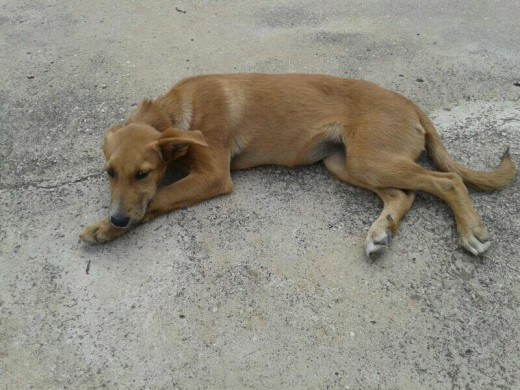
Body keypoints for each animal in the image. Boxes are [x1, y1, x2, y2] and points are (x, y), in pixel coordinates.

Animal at [80, 73, 516, 258]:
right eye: (109, 173)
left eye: (143, 173)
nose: (117, 218)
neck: (178, 113)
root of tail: (410, 103)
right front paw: (109, 225)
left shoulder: (213, 175)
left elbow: (156, 200)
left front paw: (104, 229)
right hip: (346, 163)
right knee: (403, 194)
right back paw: (381, 232)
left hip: (369, 159)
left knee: (448, 180)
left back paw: (470, 231)